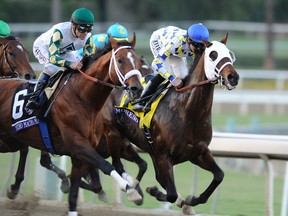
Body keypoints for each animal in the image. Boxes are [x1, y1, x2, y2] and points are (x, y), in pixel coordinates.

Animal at [0, 35, 144, 214]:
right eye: (120, 60)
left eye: (137, 61)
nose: (137, 88)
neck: (83, 96)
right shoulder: (78, 144)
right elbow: (106, 165)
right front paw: (130, 188)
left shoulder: (81, 154)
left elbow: (76, 190)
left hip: (11, 140)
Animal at [95, 34, 240, 214]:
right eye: (213, 55)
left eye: (230, 54)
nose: (233, 77)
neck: (187, 111)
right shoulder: (164, 157)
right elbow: (171, 193)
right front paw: (154, 191)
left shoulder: (198, 153)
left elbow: (219, 176)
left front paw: (191, 200)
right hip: (113, 134)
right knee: (117, 164)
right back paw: (133, 192)